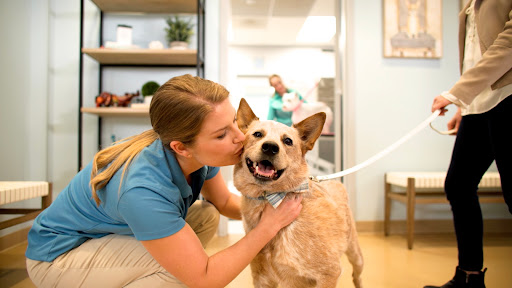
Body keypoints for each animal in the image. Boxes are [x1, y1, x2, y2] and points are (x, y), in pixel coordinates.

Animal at [234, 98, 362, 286]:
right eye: (257, 134)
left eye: (287, 141)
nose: (270, 147)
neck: (268, 198)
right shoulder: (262, 278)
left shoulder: (329, 273)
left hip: (355, 254)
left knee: (357, 276)